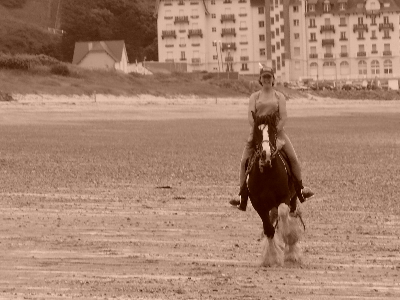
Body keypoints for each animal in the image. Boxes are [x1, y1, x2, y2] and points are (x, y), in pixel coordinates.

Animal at [245, 111, 304, 266]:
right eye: (256, 132)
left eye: (272, 131)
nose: (265, 153)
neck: (267, 172)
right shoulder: (258, 203)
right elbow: (268, 228)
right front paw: (270, 257)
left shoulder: (284, 197)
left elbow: (283, 213)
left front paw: (289, 237)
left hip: (294, 198)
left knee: (290, 214)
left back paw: (291, 253)